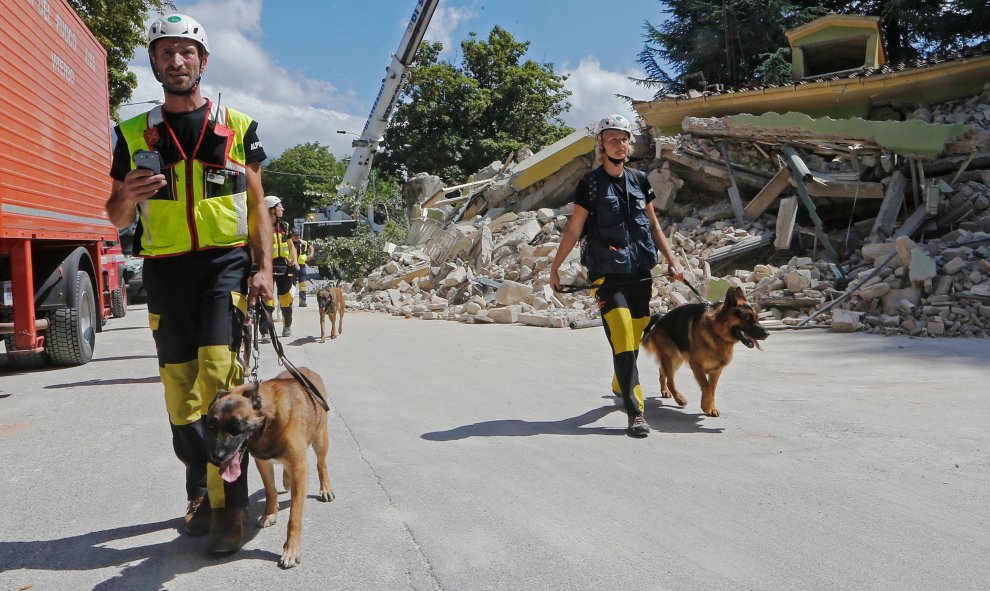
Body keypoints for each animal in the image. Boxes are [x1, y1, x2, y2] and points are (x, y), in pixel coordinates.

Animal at [206, 370, 338, 568]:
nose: (216, 457)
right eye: (211, 426)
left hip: (320, 440)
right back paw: (286, 481)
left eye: (237, 425)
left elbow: (294, 517)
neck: (269, 421)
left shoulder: (299, 469)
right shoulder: (263, 462)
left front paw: (291, 550)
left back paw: (325, 489)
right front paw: (270, 513)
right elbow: (270, 490)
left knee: (321, 465)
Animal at [640, 286, 772, 416]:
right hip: (672, 358)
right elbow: (706, 387)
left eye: (757, 318)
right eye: (747, 318)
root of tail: (660, 320)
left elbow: (711, 389)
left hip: (676, 360)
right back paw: (679, 399)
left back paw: (665, 391)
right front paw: (706, 406)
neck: (716, 332)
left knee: (662, 371)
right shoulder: (697, 366)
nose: (767, 333)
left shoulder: (716, 370)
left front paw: (710, 407)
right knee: (670, 380)